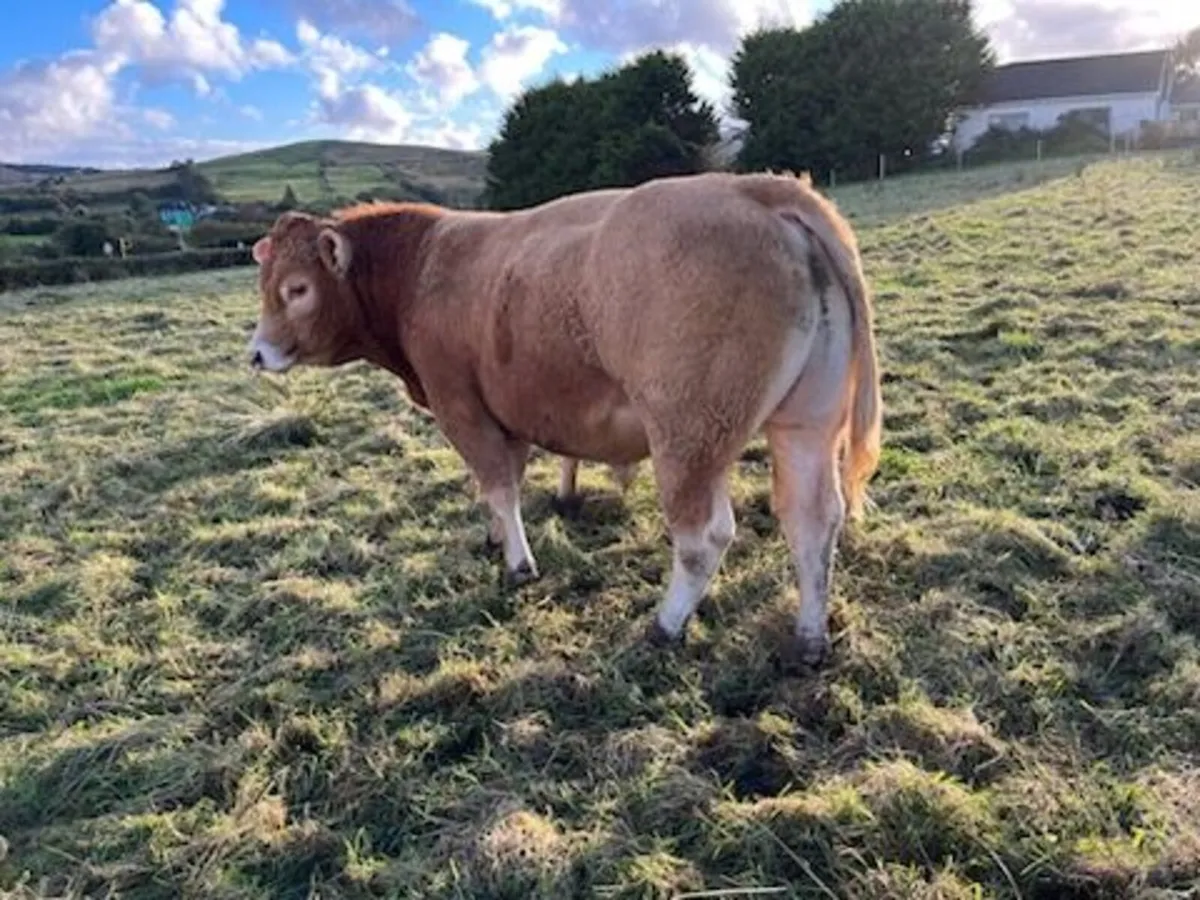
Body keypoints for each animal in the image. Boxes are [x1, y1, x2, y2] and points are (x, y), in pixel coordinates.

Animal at [246, 170, 882, 666]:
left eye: (297, 289)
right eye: (266, 287)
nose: (256, 353)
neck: (419, 267)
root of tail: (754, 188)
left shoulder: (462, 407)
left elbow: (498, 485)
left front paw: (519, 563)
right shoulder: (509, 411)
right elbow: (504, 482)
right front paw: (499, 534)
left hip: (689, 436)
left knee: (704, 537)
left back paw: (665, 625)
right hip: (804, 425)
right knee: (813, 521)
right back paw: (809, 638)